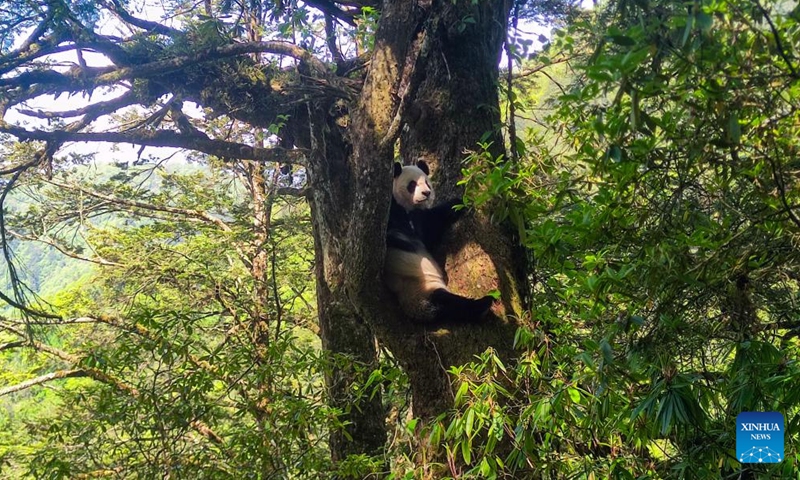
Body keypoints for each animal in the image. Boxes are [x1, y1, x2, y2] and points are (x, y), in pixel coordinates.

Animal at [386, 160, 496, 322]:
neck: (407, 207)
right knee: (446, 302)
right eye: (412, 184)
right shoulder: (395, 212)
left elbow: (430, 231)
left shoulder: (419, 221)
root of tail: (413, 308)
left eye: (427, 182)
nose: (426, 193)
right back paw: (482, 305)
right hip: (421, 285)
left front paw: (458, 204)